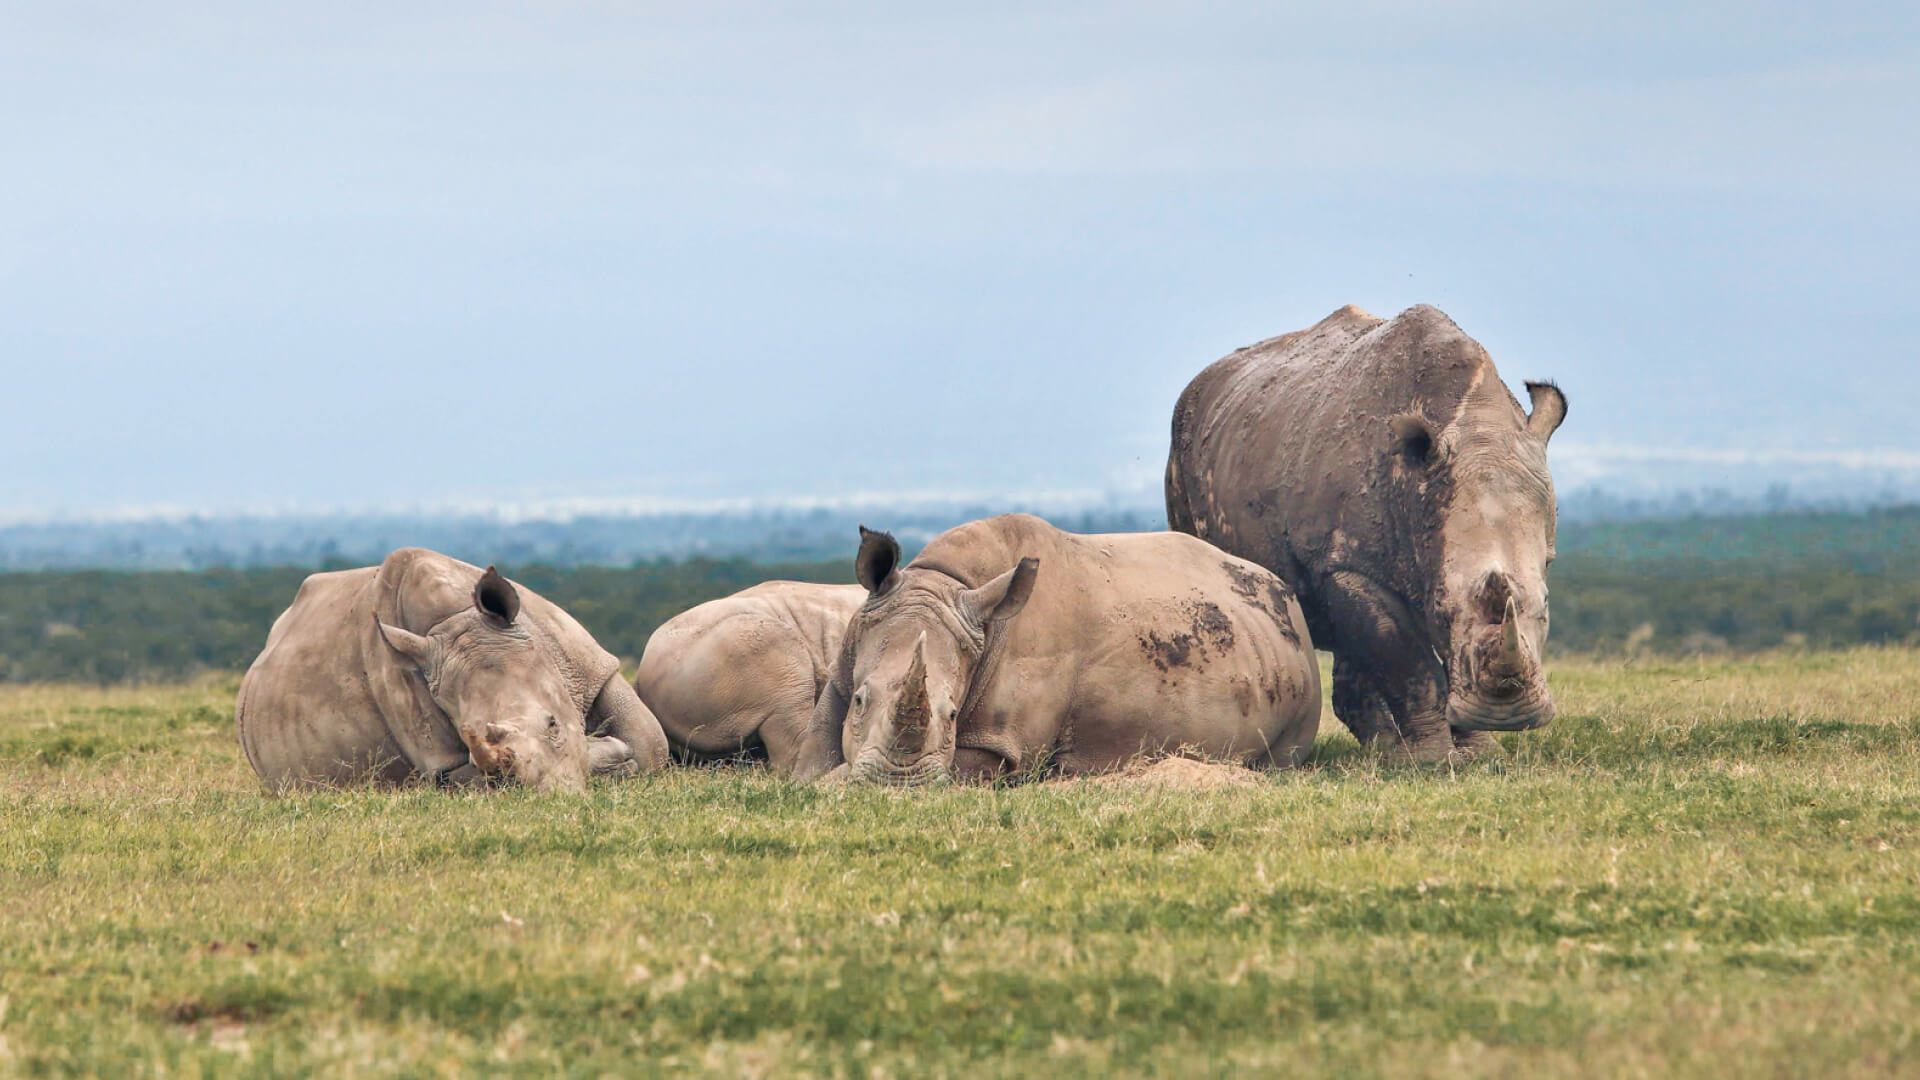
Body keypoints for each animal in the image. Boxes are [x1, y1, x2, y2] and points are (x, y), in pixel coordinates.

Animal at [237, 547, 670, 793]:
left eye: (552, 724)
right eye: (468, 737)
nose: (556, 795)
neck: (453, 621)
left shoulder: (586, 663)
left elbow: (651, 743)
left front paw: (615, 756)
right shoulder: (436, 754)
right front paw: (610, 758)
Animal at [792, 514, 1321, 785]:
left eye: (953, 715)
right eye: (861, 700)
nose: (898, 784)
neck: (943, 584)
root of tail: (1289, 599)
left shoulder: (1004, 747)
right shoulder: (843, 668)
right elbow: (809, 760)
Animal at [1164, 304, 1567, 761]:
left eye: (1546, 604)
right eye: (1441, 607)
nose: (1507, 716)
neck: (1476, 424)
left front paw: (1482, 754)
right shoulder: (1349, 565)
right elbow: (1409, 663)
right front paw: (1435, 760)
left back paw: (1384, 752)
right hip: (1181, 454)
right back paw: (1390, 752)